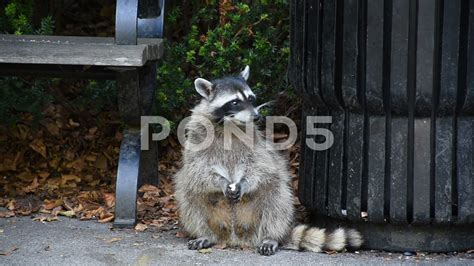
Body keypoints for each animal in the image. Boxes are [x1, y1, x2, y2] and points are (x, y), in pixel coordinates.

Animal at [174, 66, 362, 256]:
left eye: (251, 98)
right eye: (234, 102)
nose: (256, 116)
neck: (229, 124)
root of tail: (236, 239)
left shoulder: (255, 141)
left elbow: (261, 166)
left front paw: (244, 183)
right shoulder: (197, 135)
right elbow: (197, 169)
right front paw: (221, 182)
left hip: (266, 210)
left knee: (276, 196)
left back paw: (270, 236)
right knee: (189, 196)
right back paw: (206, 234)